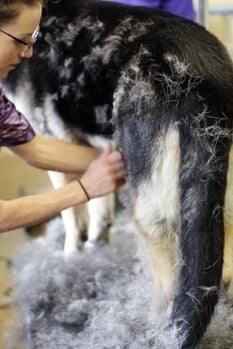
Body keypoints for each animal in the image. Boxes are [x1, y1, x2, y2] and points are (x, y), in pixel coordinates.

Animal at [2, 1, 233, 346]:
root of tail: (205, 77)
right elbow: (97, 203)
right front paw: (96, 242)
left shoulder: (50, 136)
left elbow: (72, 217)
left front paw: (71, 255)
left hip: (151, 208)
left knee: (170, 285)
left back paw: (154, 328)